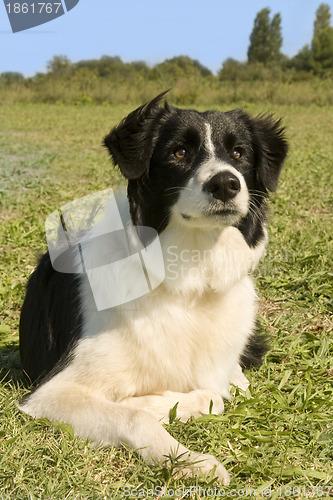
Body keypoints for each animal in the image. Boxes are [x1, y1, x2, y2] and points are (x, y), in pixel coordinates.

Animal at [19, 92, 286, 482]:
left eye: (239, 154)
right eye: (179, 152)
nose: (226, 183)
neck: (190, 276)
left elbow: (215, 393)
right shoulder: (51, 393)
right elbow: (136, 415)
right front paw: (195, 462)